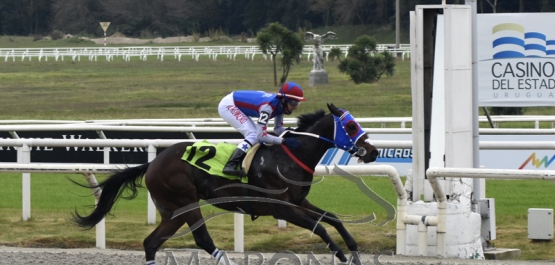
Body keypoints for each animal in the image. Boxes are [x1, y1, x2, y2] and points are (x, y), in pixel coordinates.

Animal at [73, 103, 378, 264]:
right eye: (351, 127)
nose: (373, 151)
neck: (288, 156)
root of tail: (153, 163)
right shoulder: (280, 208)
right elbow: (320, 228)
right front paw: (341, 254)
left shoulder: (298, 201)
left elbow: (333, 219)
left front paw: (354, 250)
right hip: (186, 201)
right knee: (202, 239)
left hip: (173, 211)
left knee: (151, 242)